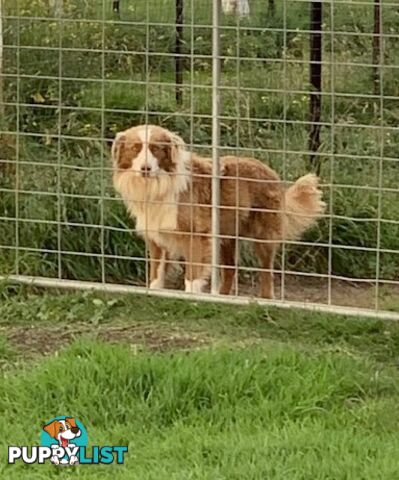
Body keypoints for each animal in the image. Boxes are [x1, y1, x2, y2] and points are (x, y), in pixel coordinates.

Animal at [111, 124, 324, 296]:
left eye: (156, 148)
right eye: (135, 148)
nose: (145, 168)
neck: (159, 185)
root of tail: (268, 169)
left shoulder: (195, 237)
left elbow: (192, 277)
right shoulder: (157, 238)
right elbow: (156, 275)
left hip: (263, 236)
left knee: (266, 273)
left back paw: (264, 298)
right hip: (226, 236)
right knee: (230, 269)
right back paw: (222, 297)